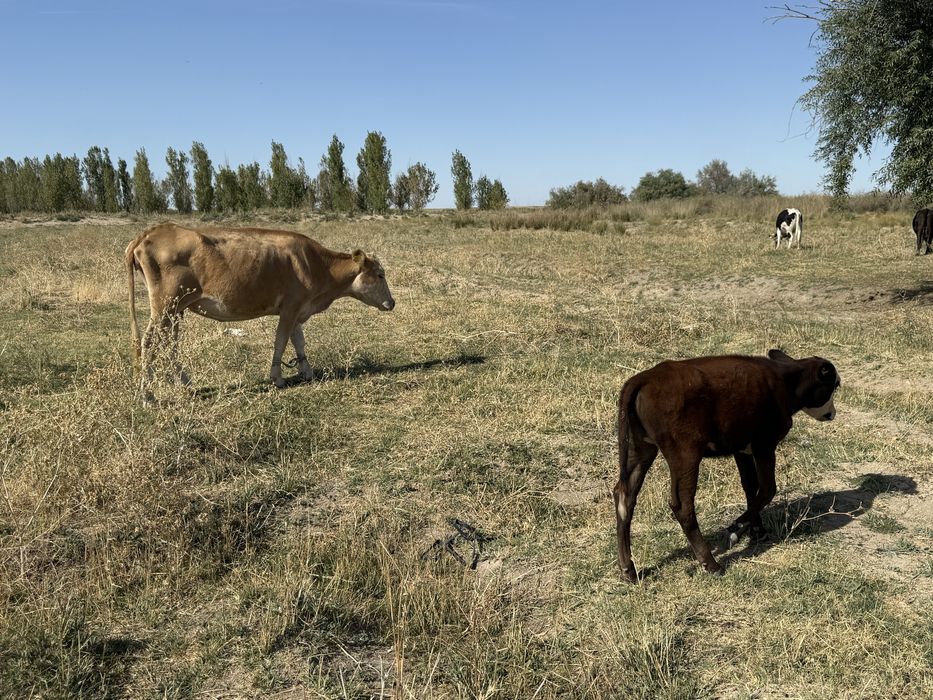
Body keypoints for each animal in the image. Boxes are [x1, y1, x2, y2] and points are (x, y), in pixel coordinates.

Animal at [125, 222, 395, 400]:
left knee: (169, 343)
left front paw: (306, 371)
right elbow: (281, 341)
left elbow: (299, 341)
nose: (392, 303)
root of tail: (153, 231)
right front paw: (277, 377)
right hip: (164, 306)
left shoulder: (298, 309)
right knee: (149, 342)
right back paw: (147, 394)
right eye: (380, 275)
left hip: (175, 310)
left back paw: (184, 384)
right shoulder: (290, 307)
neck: (318, 266)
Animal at [613, 349, 840, 583]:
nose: (832, 413)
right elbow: (767, 489)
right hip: (685, 454)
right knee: (682, 506)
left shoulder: (742, 449)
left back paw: (628, 569)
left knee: (624, 497)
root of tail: (644, 378)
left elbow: (750, 487)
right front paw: (735, 529)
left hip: (641, 449)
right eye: (835, 385)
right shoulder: (765, 445)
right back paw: (710, 563)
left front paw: (757, 531)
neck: (785, 380)